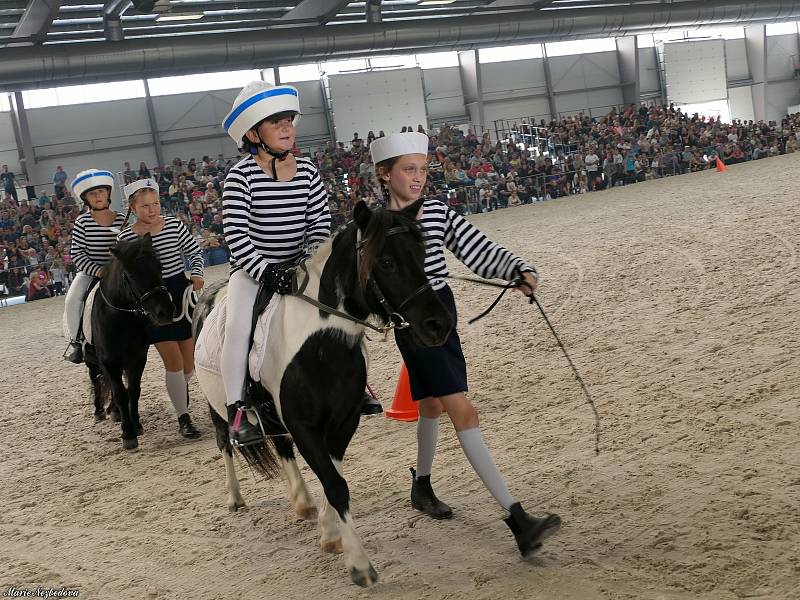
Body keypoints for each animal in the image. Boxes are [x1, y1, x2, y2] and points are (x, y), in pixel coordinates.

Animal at [82, 234, 173, 450]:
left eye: (159, 266)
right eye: (131, 274)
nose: (165, 312)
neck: (121, 318)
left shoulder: (137, 358)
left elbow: (133, 391)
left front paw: (136, 424)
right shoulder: (109, 361)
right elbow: (120, 393)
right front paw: (128, 434)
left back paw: (115, 412)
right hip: (92, 361)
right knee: (95, 379)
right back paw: (99, 412)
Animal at [195, 202, 454, 584]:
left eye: (422, 255)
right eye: (387, 261)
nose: (438, 325)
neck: (321, 344)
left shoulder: (343, 422)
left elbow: (335, 477)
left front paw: (330, 534)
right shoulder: (305, 427)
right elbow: (335, 485)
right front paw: (359, 564)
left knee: (281, 447)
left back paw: (302, 501)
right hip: (218, 408)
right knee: (224, 442)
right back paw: (235, 497)